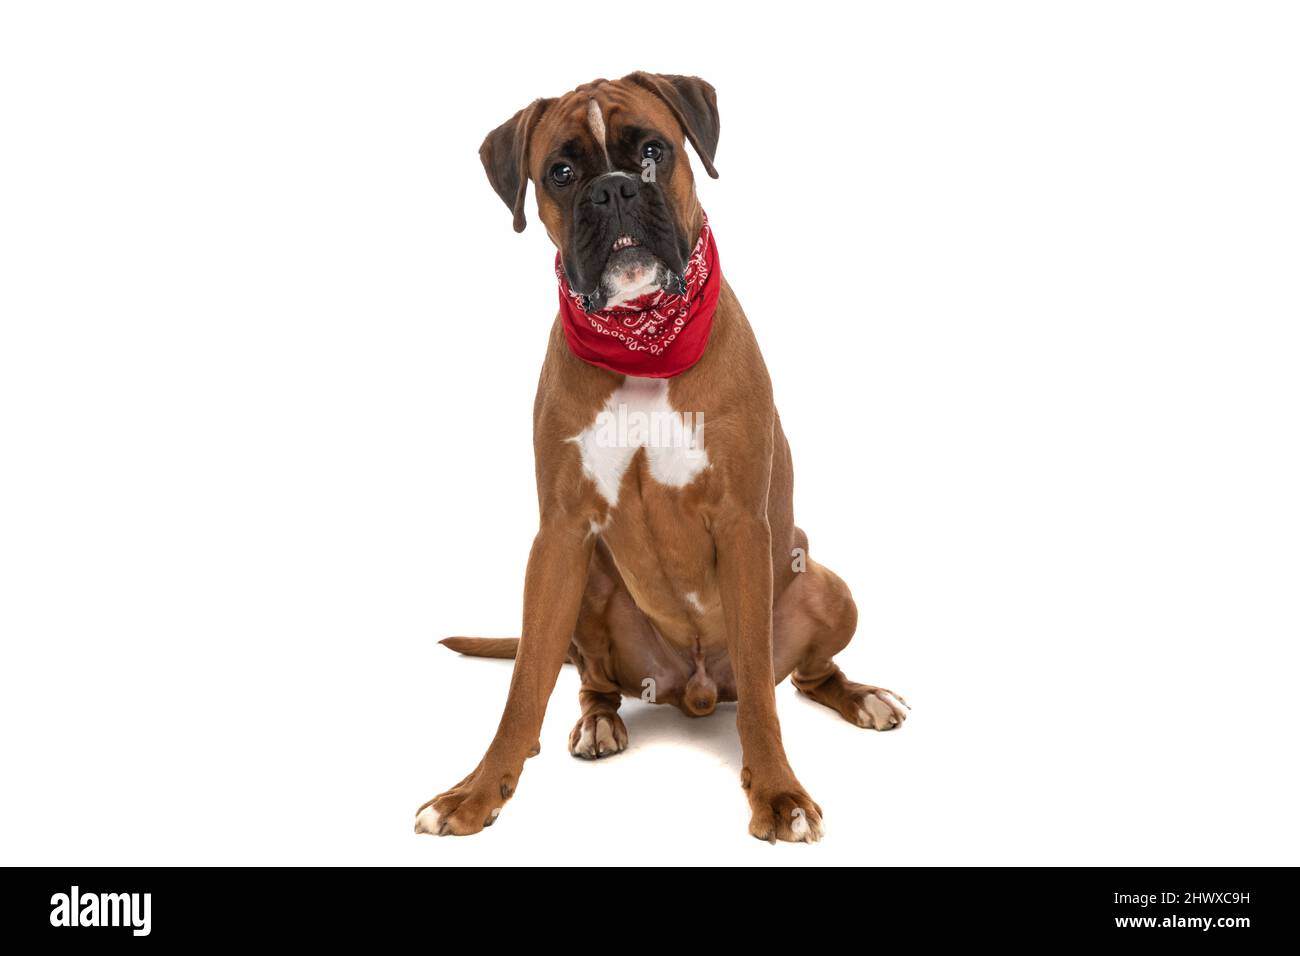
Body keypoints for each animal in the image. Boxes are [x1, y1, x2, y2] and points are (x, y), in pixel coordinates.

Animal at [416, 70, 904, 842]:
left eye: (652, 151)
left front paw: (779, 792)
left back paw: (863, 698)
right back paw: (599, 724)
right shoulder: (558, 537)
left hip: (827, 588)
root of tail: (694, 692)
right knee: (590, 681)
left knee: (802, 677)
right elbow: (524, 687)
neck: (643, 341)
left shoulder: (743, 527)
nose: (614, 190)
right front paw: (476, 792)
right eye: (560, 172)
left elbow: (762, 701)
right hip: (590, 585)